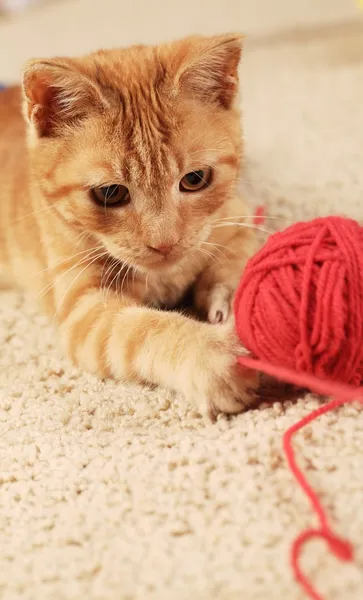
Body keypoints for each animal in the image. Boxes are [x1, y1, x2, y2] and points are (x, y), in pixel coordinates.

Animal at [0, 32, 258, 418]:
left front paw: (224, 300)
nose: (165, 243)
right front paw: (210, 354)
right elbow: (141, 329)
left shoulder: (235, 216)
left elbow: (236, 259)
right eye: (110, 193)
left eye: (195, 179)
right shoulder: (84, 310)